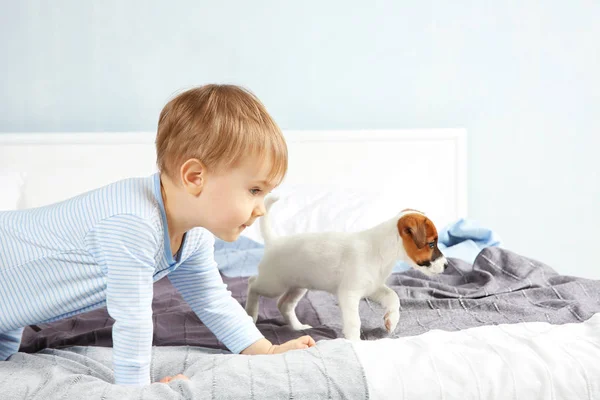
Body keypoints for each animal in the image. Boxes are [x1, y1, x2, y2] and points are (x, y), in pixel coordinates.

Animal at [243, 197, 446, 340]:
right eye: (431, 244)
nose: (446, 265)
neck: (380, 250)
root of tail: (274, 242)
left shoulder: (373, 288)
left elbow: (393, 297)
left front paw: (391, 319)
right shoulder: (349, 294)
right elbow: (354, 322)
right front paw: (354, 342)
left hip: (297, 286)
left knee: (283, 304)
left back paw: (298, 327)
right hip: (272, 284)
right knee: (252, 284)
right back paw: (251, 314)